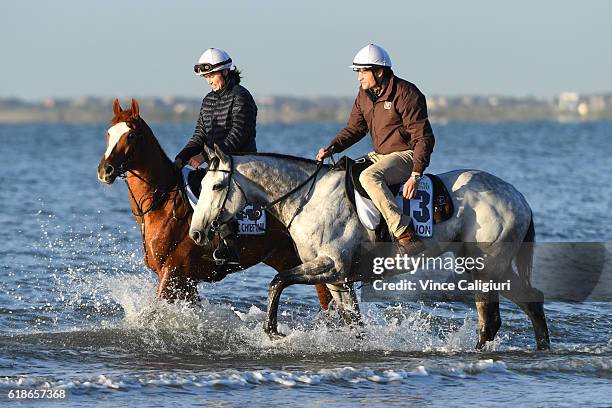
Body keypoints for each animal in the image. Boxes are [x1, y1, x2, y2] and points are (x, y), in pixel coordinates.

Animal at [97, 99, 332, 308]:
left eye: (131, 135)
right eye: (108, 133)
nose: (105, 171)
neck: (162, 204)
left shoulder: (173, 273)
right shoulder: (186, 281)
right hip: (284, 257)